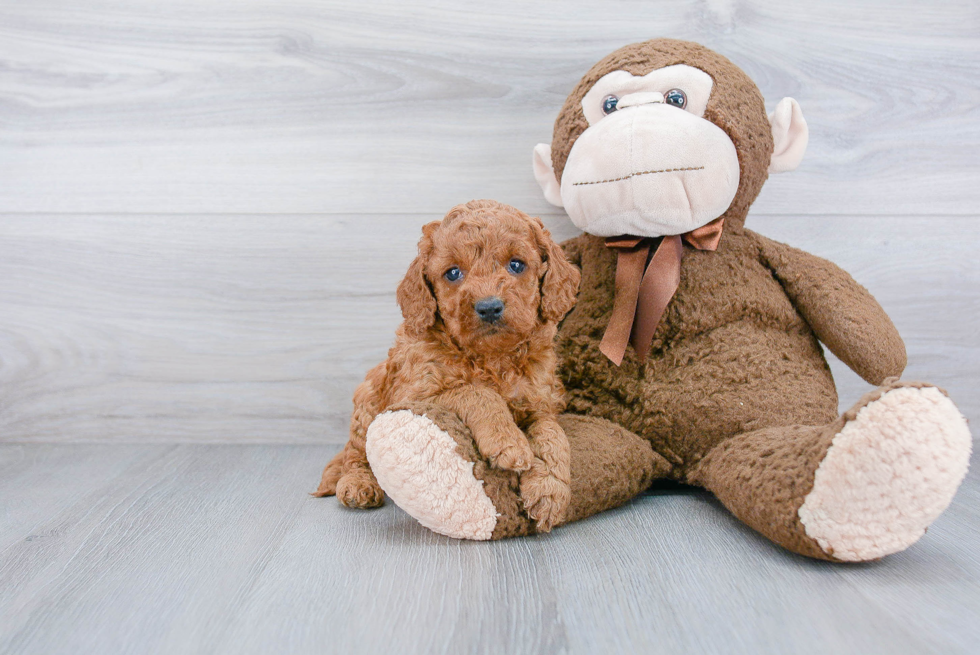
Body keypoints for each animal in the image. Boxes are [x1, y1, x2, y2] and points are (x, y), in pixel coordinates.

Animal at [314, 200, 580, 532]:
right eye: (453, 273)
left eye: (517, 265)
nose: (489, 307)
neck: (492, 358)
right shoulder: (416, 393)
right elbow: (476, 392)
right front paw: (508, 442)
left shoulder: (540, 403)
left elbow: (552, 434)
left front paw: (550, 491)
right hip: (369, 399)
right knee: (355, 453)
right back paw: (358, 484)